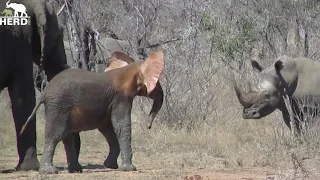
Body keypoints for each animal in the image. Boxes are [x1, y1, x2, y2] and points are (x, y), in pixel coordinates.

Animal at [20, 48, 165, 174]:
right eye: (156, 82)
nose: (148, 126)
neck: (127, 71)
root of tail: (44, 93)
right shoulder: (120, 99)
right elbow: (121, 126)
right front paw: (129, 169)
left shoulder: (110, 103)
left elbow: (108, 129)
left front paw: (110, 166)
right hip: (58, 106)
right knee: (56, 135)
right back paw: (50, 171)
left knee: (67, 136)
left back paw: (76, 170)